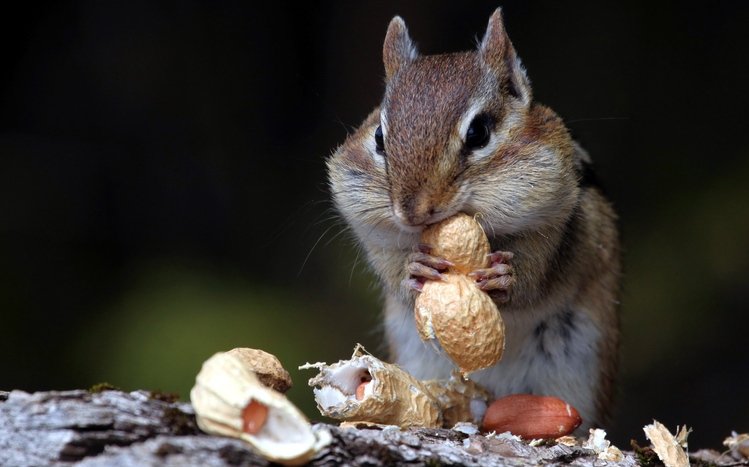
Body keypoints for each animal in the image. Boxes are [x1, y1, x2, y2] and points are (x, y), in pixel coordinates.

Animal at [327, 8, 621, 429]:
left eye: (479, 132)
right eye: (380, 137)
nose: (412, 212)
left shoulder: (560, 223)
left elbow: (539, 275)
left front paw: (505, 277)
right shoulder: (375, 233)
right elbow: (393, 269)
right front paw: (414, 268)